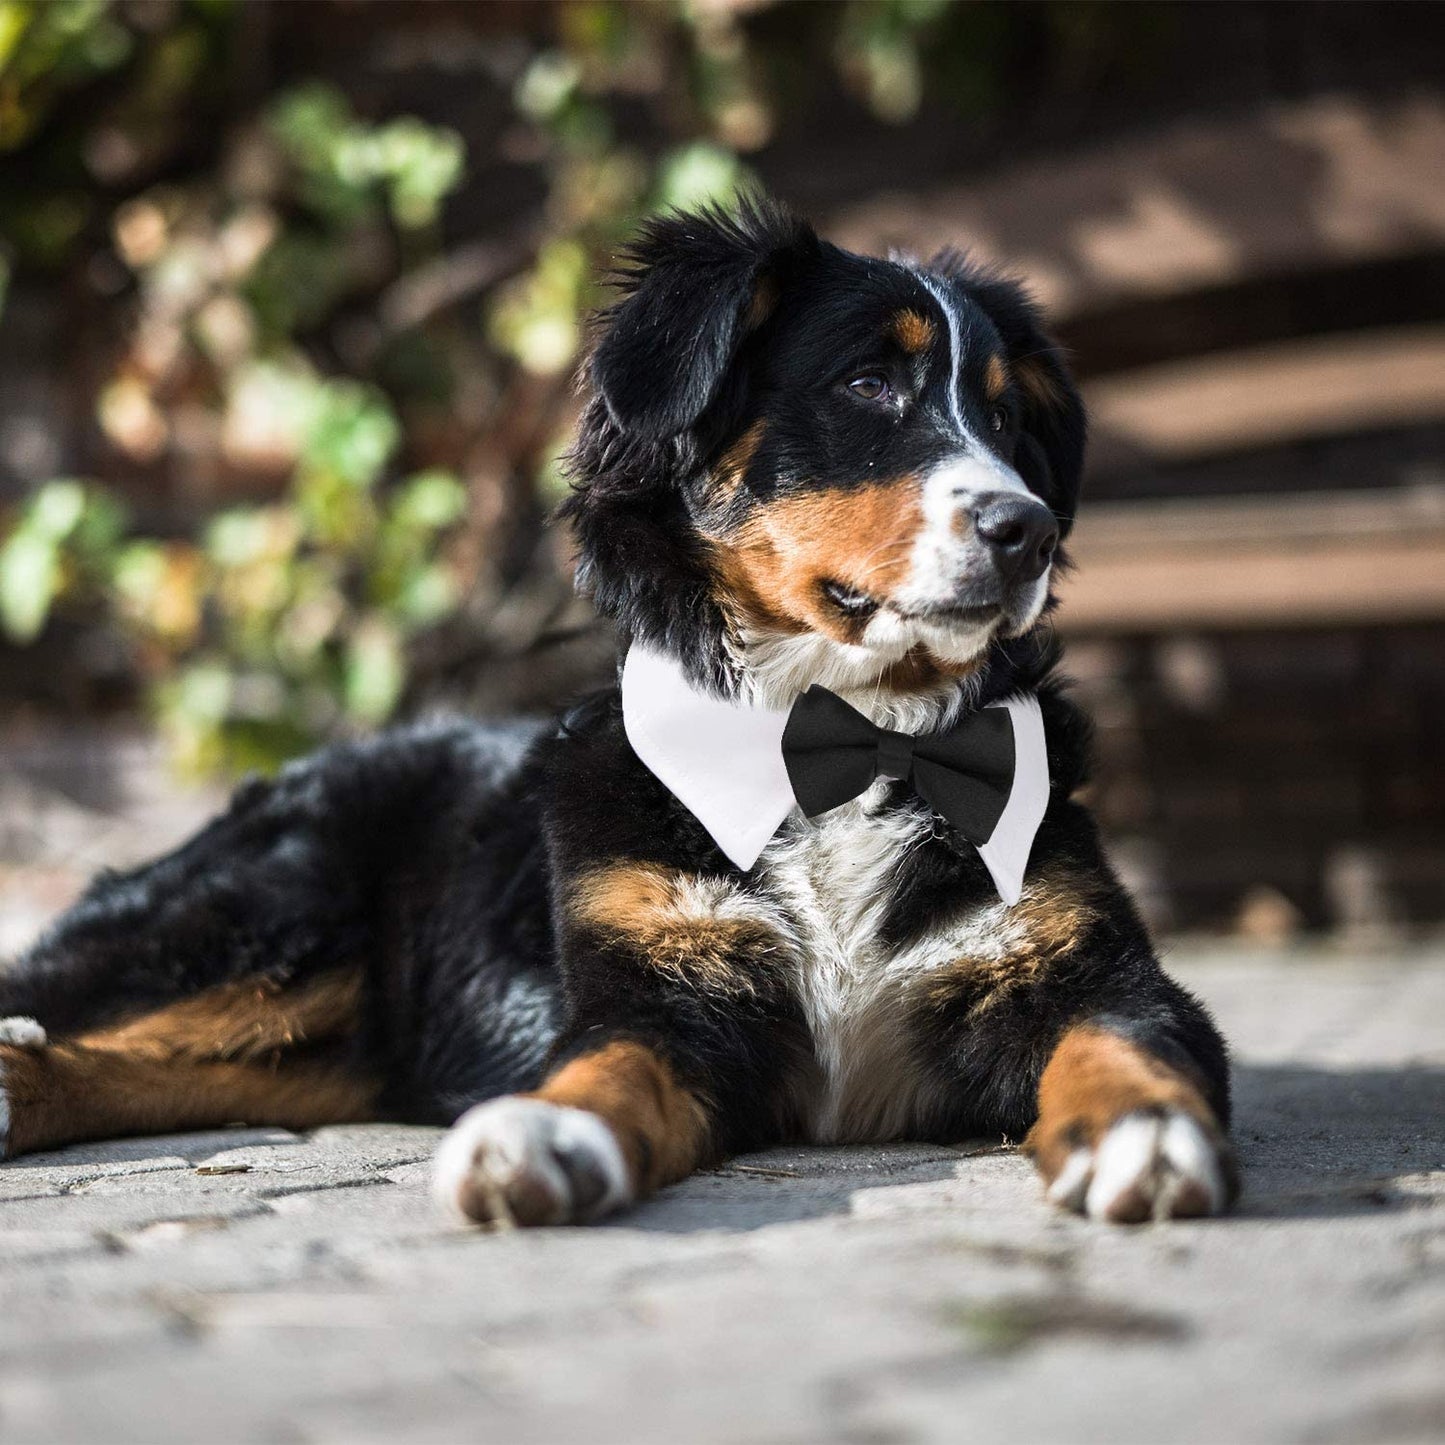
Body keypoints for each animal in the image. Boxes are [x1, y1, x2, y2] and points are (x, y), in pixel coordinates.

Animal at [2, 197, 1242, 1225]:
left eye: (1006, 417)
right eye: (865, 384)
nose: (1022, 527)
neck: (834, 733)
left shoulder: (1079, 963)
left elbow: (1121, 1040)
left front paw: (1139, 1134)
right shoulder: (663, 988)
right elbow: (606, 1067)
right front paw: (542, 1134)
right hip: (267, 915)